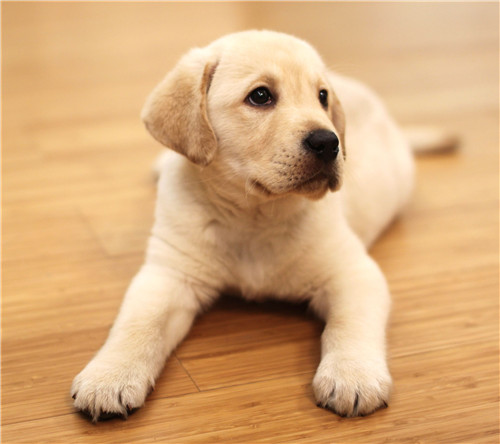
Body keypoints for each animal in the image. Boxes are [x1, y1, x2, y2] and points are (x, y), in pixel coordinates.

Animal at [70, 30, 414, 420]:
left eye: (322, 97)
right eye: (260, 96)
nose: (330, 142)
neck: (255, 217)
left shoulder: (354, 272)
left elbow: (350, 324)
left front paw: (353, 374)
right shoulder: (169, 274)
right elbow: (139, 324)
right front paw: (109, 376)